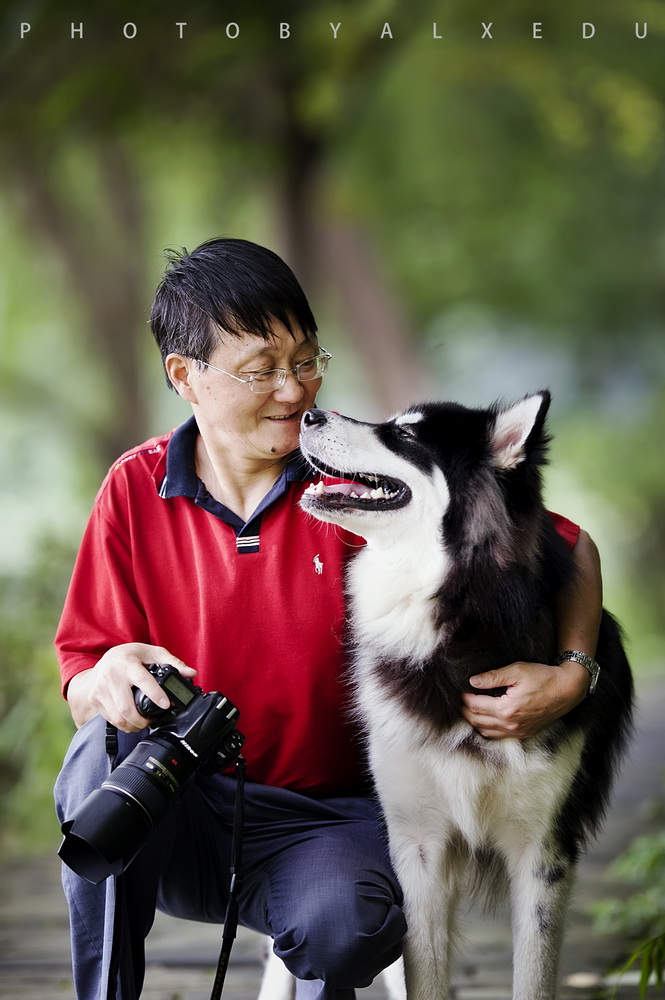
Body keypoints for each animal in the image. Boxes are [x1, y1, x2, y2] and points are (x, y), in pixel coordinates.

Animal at [296, 392, 632, 1000]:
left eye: (406, 435)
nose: (308, 414)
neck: (459, 610)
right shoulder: (417, 846)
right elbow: (423, 976)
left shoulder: (543, 853)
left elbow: (533, 976)